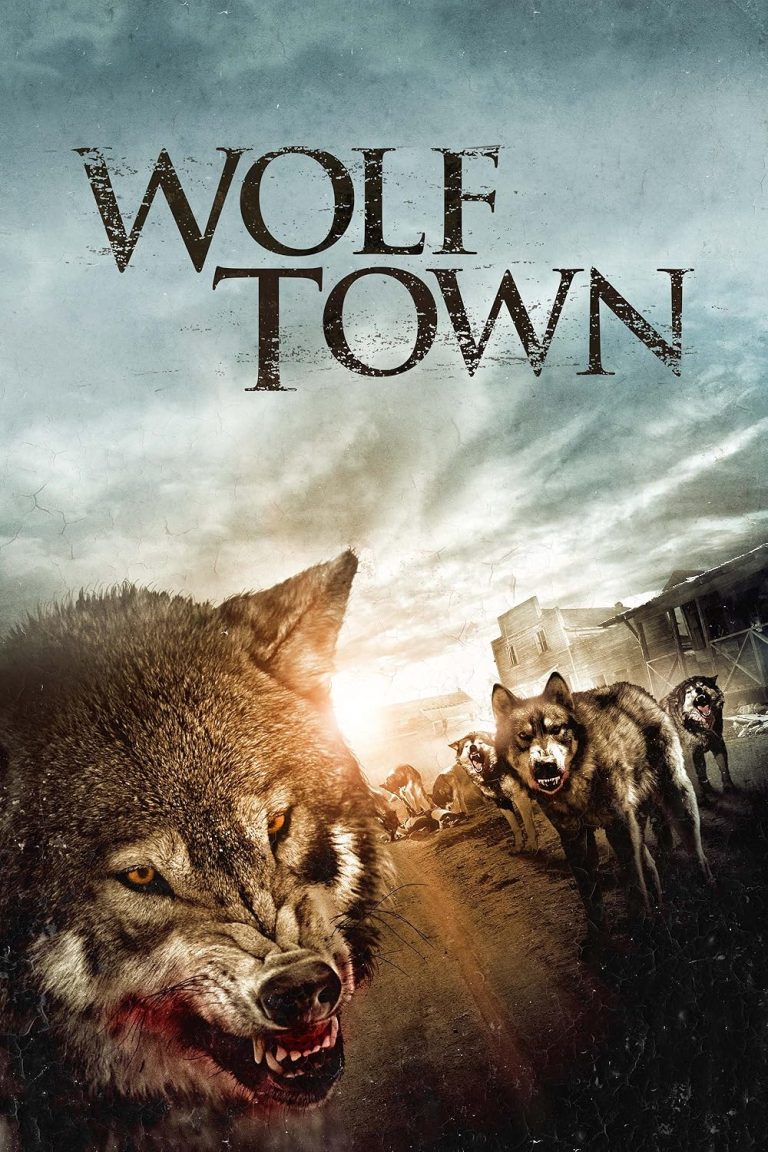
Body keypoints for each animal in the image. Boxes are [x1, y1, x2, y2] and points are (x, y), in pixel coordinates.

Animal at [492, 673, 711, 940]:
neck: (576, 783)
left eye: (556, 730)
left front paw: (641, 928)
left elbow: (633, 884)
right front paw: (598, 937)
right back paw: (660, 909)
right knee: (650, 866)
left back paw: (705, 889)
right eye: (524, 736)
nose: (546, 765)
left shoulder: (618, 827)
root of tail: (636, 690)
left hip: (676, 801)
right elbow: (589, 892)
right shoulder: (574, 838)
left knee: (695, 852)